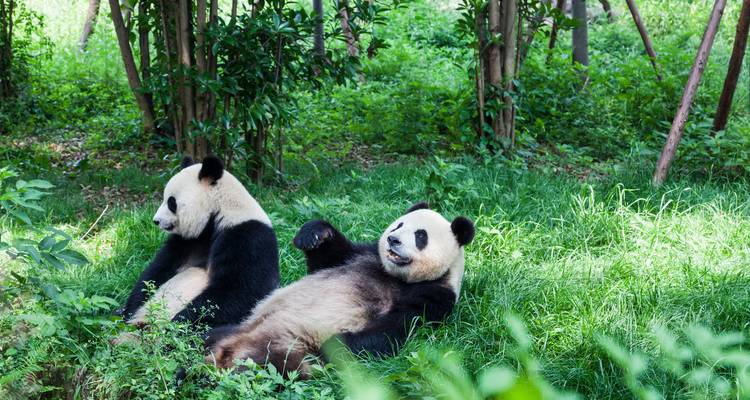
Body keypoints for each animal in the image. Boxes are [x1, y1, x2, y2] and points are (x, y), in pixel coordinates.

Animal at [119, 155, 280, 329]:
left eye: (171, 202)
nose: (156, 221)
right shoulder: (188, 240)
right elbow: (156, 272)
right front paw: (128, 311)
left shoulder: (247, 237)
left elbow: (241, 290)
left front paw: (177, 324)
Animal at [204, 202, 474, 376]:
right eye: (398, 225)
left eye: (420, 236)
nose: (393, 240)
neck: (398, 277)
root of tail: (230, 350)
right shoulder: (363, 255)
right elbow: (328, 259)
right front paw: (314, 234)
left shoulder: (434, 296)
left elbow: (395, 328)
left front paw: (334, 343)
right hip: (241, 326)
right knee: (210, 334)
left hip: (287, 352)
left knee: (268, 367)